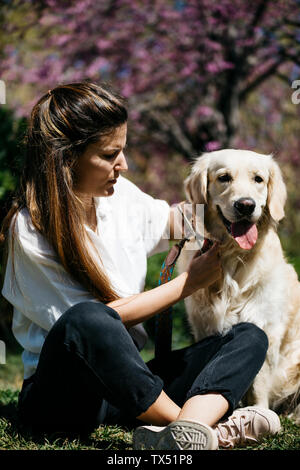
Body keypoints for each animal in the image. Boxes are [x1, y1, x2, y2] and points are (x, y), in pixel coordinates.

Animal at [177, 151, 300, 422]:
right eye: (224, 177)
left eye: (258, 179)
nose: (245, 205)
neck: (233, 256)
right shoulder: (204, 327)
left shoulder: (265, 326)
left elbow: (259, 383)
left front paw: (259, 411)